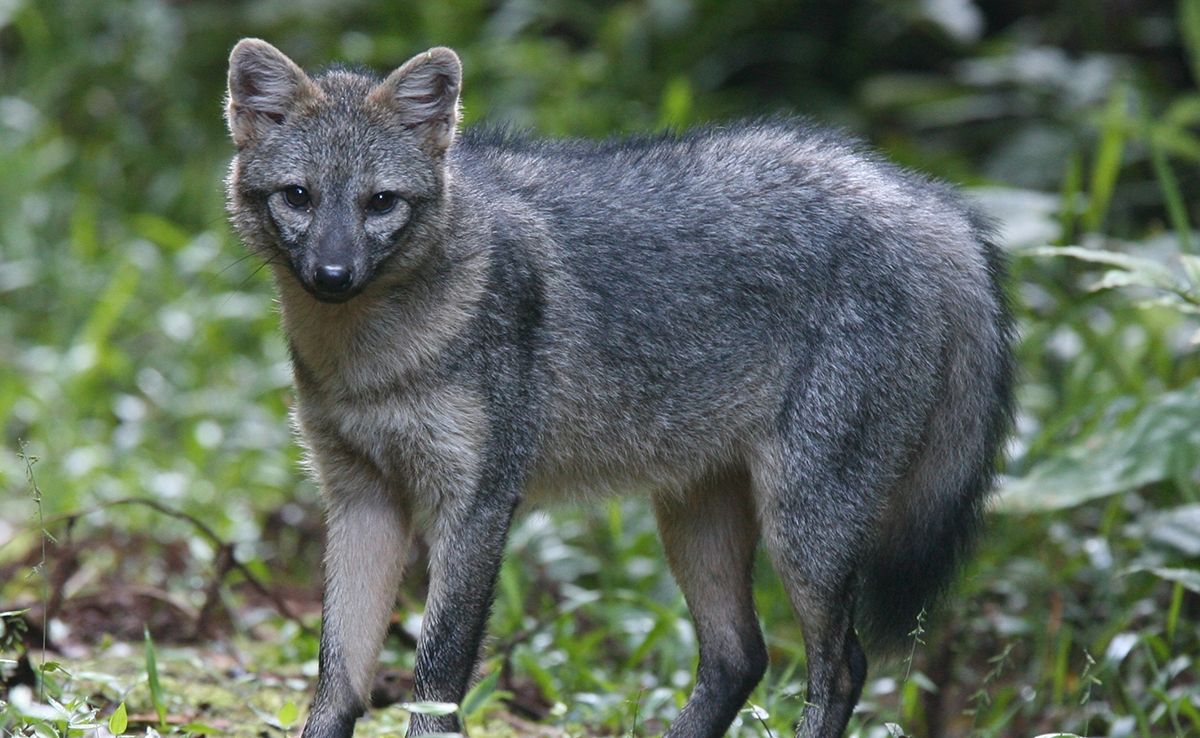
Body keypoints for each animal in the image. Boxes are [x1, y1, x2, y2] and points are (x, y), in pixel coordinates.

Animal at [223, 39, 1012, 738]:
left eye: (380, 202)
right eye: (299, 197)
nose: (332, 276)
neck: (371, 362)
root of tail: (920, 197)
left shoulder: (476, 503)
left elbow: (437, 676)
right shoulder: (362, 497)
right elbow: (337, 676)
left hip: (804, 530)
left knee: (842, 668)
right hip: (699, 519)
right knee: (739, 658)